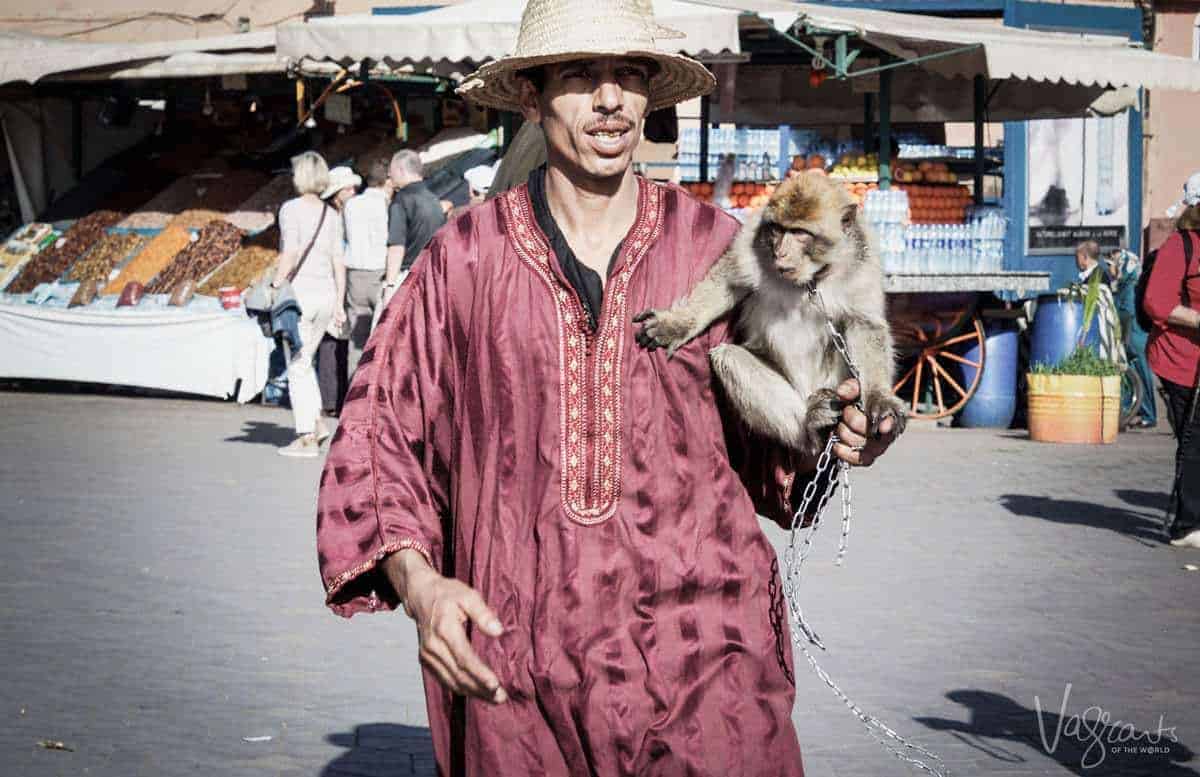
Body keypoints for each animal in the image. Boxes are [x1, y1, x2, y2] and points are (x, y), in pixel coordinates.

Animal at [633, 170, 902, 455]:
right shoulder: (753, 242)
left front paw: (880, 398)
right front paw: (675, 325)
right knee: (729, 358)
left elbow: (865, 324)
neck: (810, 281)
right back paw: (811, 427)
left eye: (799, 232)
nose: (780, 252)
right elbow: (726, 282)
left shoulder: (864, 262)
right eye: (778, 230)